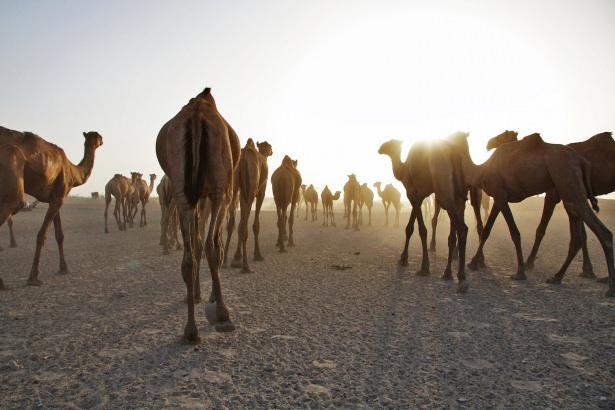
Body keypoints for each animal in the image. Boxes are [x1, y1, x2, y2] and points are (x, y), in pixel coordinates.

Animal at [0, 126, 102, 290]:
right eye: (98, 136)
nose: (102, 140)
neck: (73, 171)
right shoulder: (59, 197)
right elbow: (42, 235)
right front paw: (33, 277)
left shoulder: (54, 198)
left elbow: (59, 235)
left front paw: (63, 268)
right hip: (11, 168)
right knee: (15, 203)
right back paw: (2, 282)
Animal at [154, 85, 241, 340]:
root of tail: (195, 115)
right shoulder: (217, 195)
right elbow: (214, 245)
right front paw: (211, 297)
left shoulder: (197, 197)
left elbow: (197, 242)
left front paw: (196, 294)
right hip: (220, 188)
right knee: (212, 245)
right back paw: (222, 313)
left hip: (182, 187)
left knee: (189, 256)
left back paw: (190, 330)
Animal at [225, 139, 274, 272]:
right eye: (270, 146)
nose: (272, 151)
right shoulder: (261, 191)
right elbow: (255, 224)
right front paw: (258, 255)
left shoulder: (242, 192)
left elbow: (241, 222)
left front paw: (236, 256)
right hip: (252, 185)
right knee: (244, 224)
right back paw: (246, 266)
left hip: (235, 183)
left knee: (232, 223)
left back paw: (224, 261)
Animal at [378, 137, 484, 292]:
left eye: (390, 143)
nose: (380, 148)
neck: (404, 168)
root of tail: (454, 153)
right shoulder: (420, 195)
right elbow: (412, 226)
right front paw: (405, 258)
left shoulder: (413, 193)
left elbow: (419, 229)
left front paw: (422, 267)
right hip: (460, 193)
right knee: (462, 227)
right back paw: (450, 273)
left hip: (444, 189)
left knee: (463, 228)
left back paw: (461, 277)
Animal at [448, 133, 615, 296]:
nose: (488, 144)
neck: (481, 170)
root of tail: (582, 161)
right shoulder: (499, 197)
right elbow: (487, 231)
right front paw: (474, 263)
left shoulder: (500, 194)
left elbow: (514, 232)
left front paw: (520, 272)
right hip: (569, 190)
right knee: (578, 237)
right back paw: (557, 277)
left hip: (567, 180)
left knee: (602, 232)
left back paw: (609, 287)